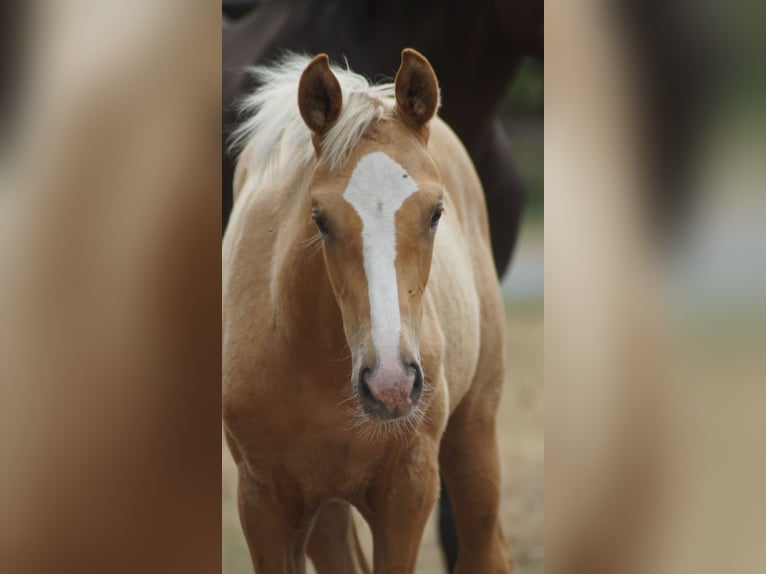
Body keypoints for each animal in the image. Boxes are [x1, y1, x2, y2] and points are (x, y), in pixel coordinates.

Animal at [222, 49, 512, 573]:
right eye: (320, 218)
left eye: (436, 212)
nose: (391, 384)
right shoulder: (262, 501)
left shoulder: (409, 489)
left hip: (474, 429)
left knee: (488, 549)